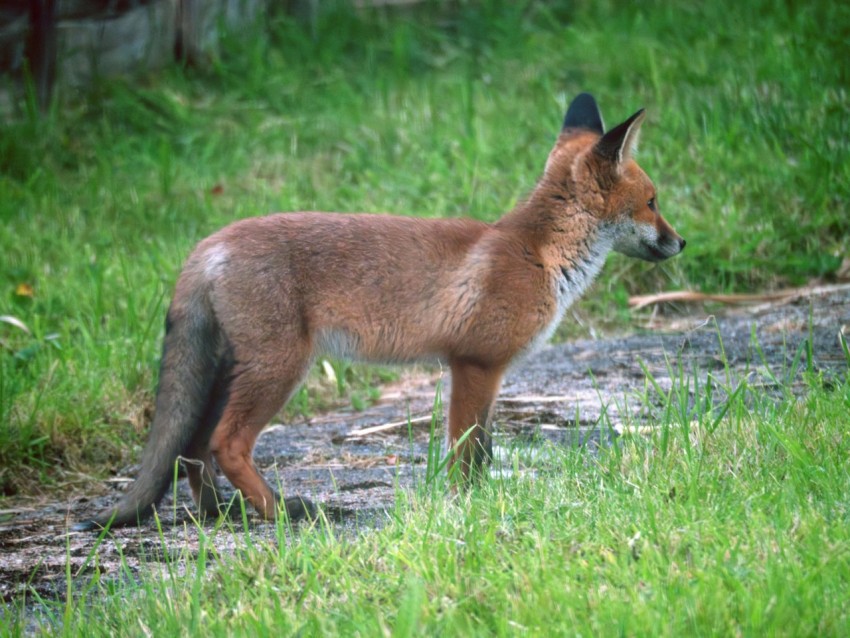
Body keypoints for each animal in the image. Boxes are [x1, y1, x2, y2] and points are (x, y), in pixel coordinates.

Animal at [71, 92, 684, 532]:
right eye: (653, 202)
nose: (681, 243)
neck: (538, 252)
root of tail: (207, 243)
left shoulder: (488, 372)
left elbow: (484, 451)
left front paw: (483, 501)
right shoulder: (474, 364)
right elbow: (466, 453)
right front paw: (466, 509)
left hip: (234, 368)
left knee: (192, 448)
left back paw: (220, 516)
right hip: (278, 368)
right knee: (225, 444)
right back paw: (280, 513)